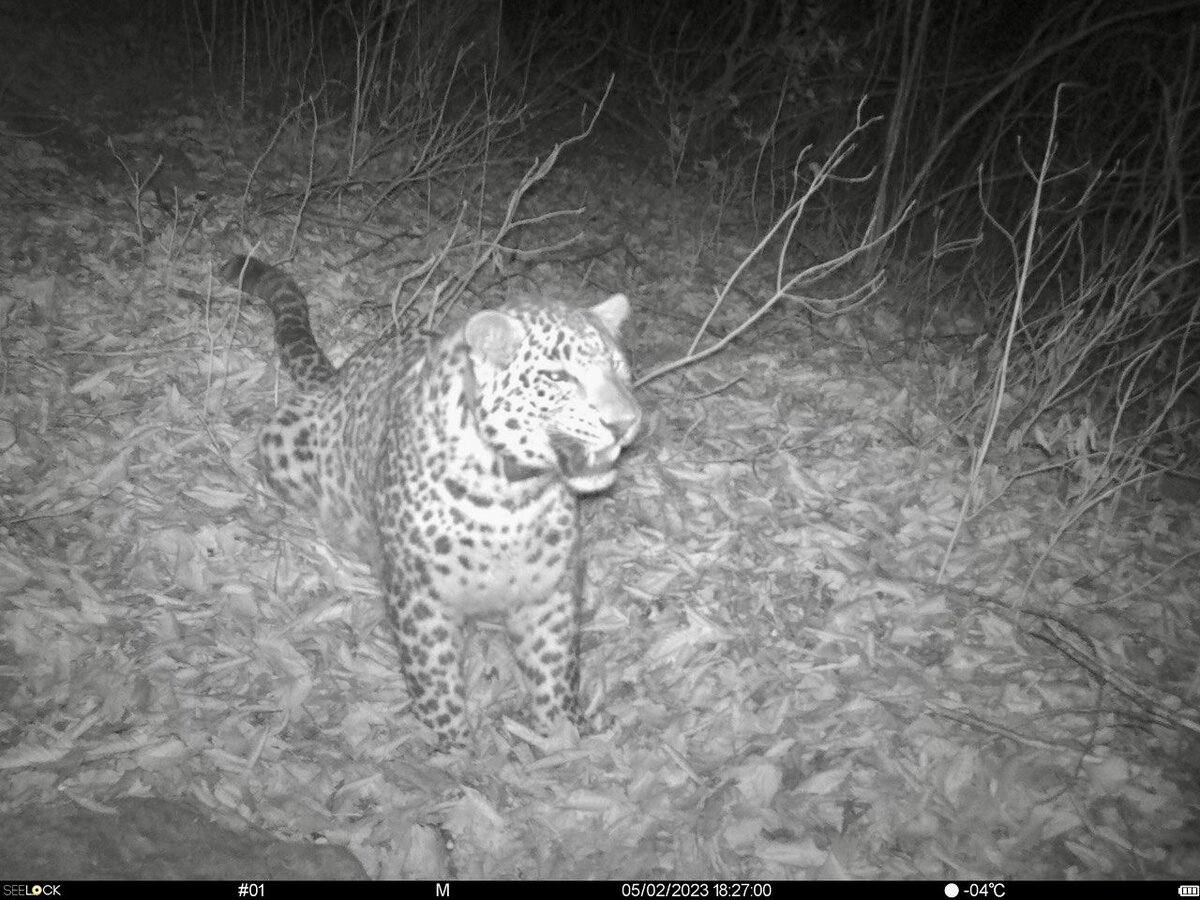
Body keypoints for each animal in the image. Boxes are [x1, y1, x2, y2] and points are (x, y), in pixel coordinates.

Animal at [222, 254, 643, 748]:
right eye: (558, 377)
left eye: (619, 367)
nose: (626, 422)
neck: (511, 498)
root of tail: (339, 377)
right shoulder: (420, 598)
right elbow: (434, 679)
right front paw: (455, 748)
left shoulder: (548, 593)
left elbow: (556, 673)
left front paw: (564, 738)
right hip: (283, 437)